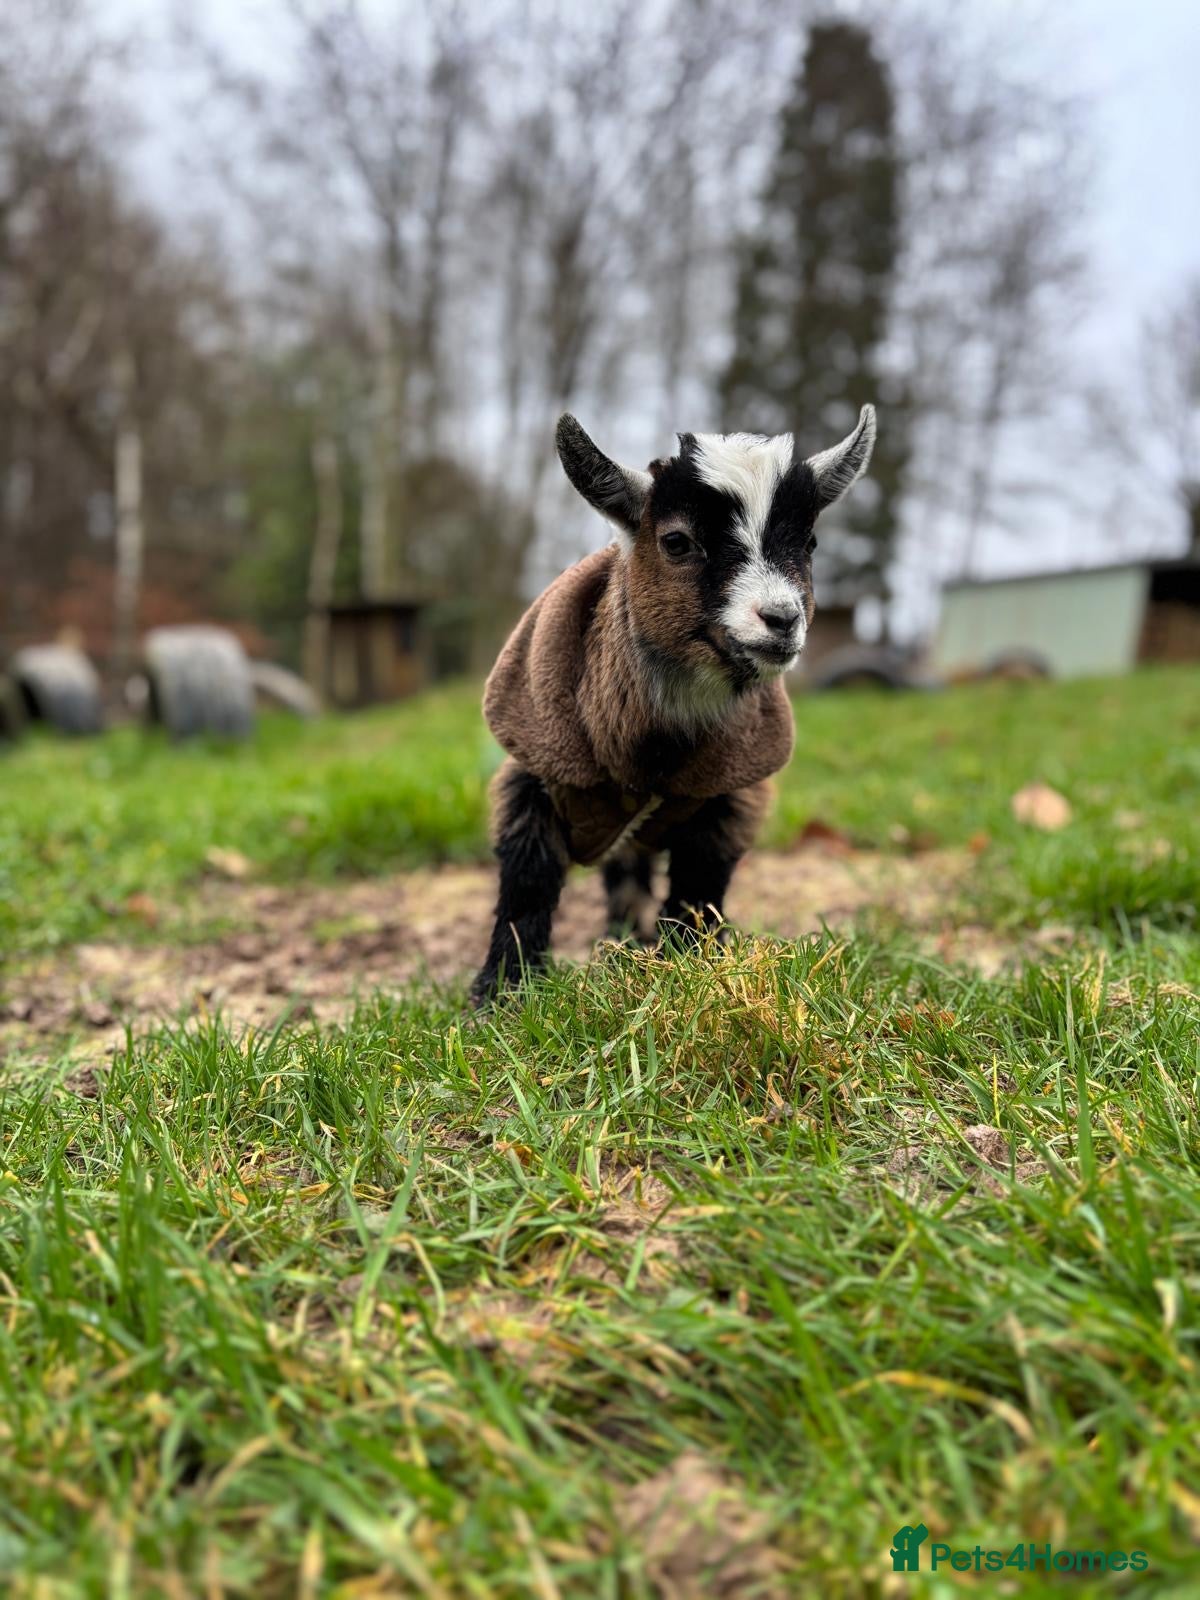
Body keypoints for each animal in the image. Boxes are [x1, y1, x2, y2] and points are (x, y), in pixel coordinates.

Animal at [470, 405, 876, 1003]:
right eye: (678, 542)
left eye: (811, 543)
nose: (781, 620)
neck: (654, 752)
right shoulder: (535, 773)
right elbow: (528, 878)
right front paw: (502, 991)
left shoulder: (730, 794)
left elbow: (698, 884)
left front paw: (688, 967)